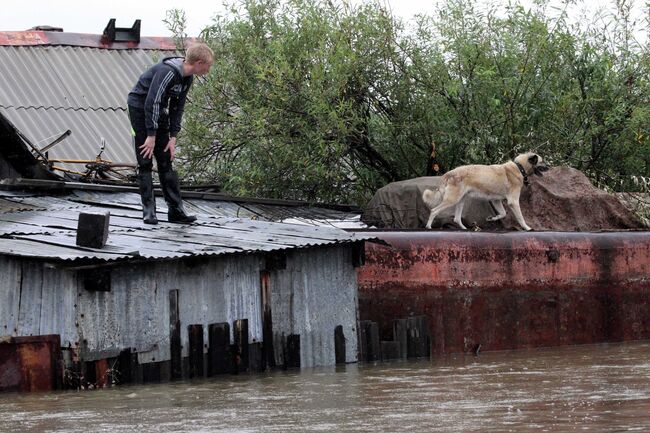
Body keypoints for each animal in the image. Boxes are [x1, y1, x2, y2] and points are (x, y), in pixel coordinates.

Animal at [420, 154, 548, 231]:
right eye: (542, 161)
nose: (549, 166)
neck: (519, 167)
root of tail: (450, 172)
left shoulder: (496, 201)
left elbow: (503, 213)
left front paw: (492, 218)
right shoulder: (513, 202)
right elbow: (520, 218)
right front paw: (527, 228)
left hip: (461, 200)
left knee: (456, 218)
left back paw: (465, 229)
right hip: (452, 200)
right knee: (434, 210)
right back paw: (428, 226)